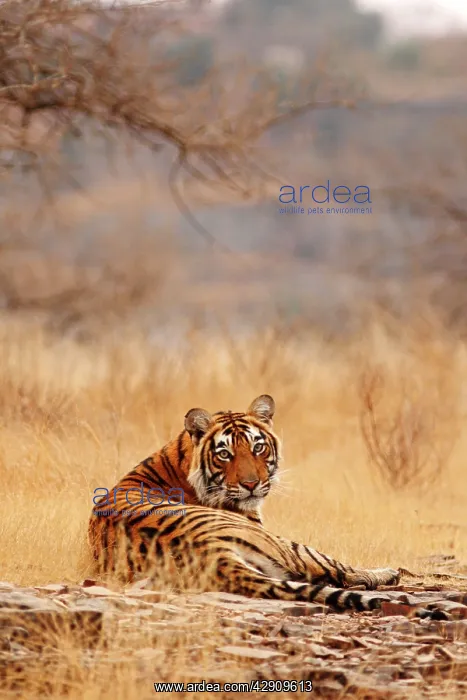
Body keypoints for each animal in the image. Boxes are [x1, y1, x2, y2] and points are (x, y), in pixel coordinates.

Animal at [89, 394, 400, 611]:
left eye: (258, 447)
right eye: (224, 454)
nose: (251, 484)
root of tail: (211, 555)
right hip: (282, 544)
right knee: (333, 567)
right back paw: (387, 573)